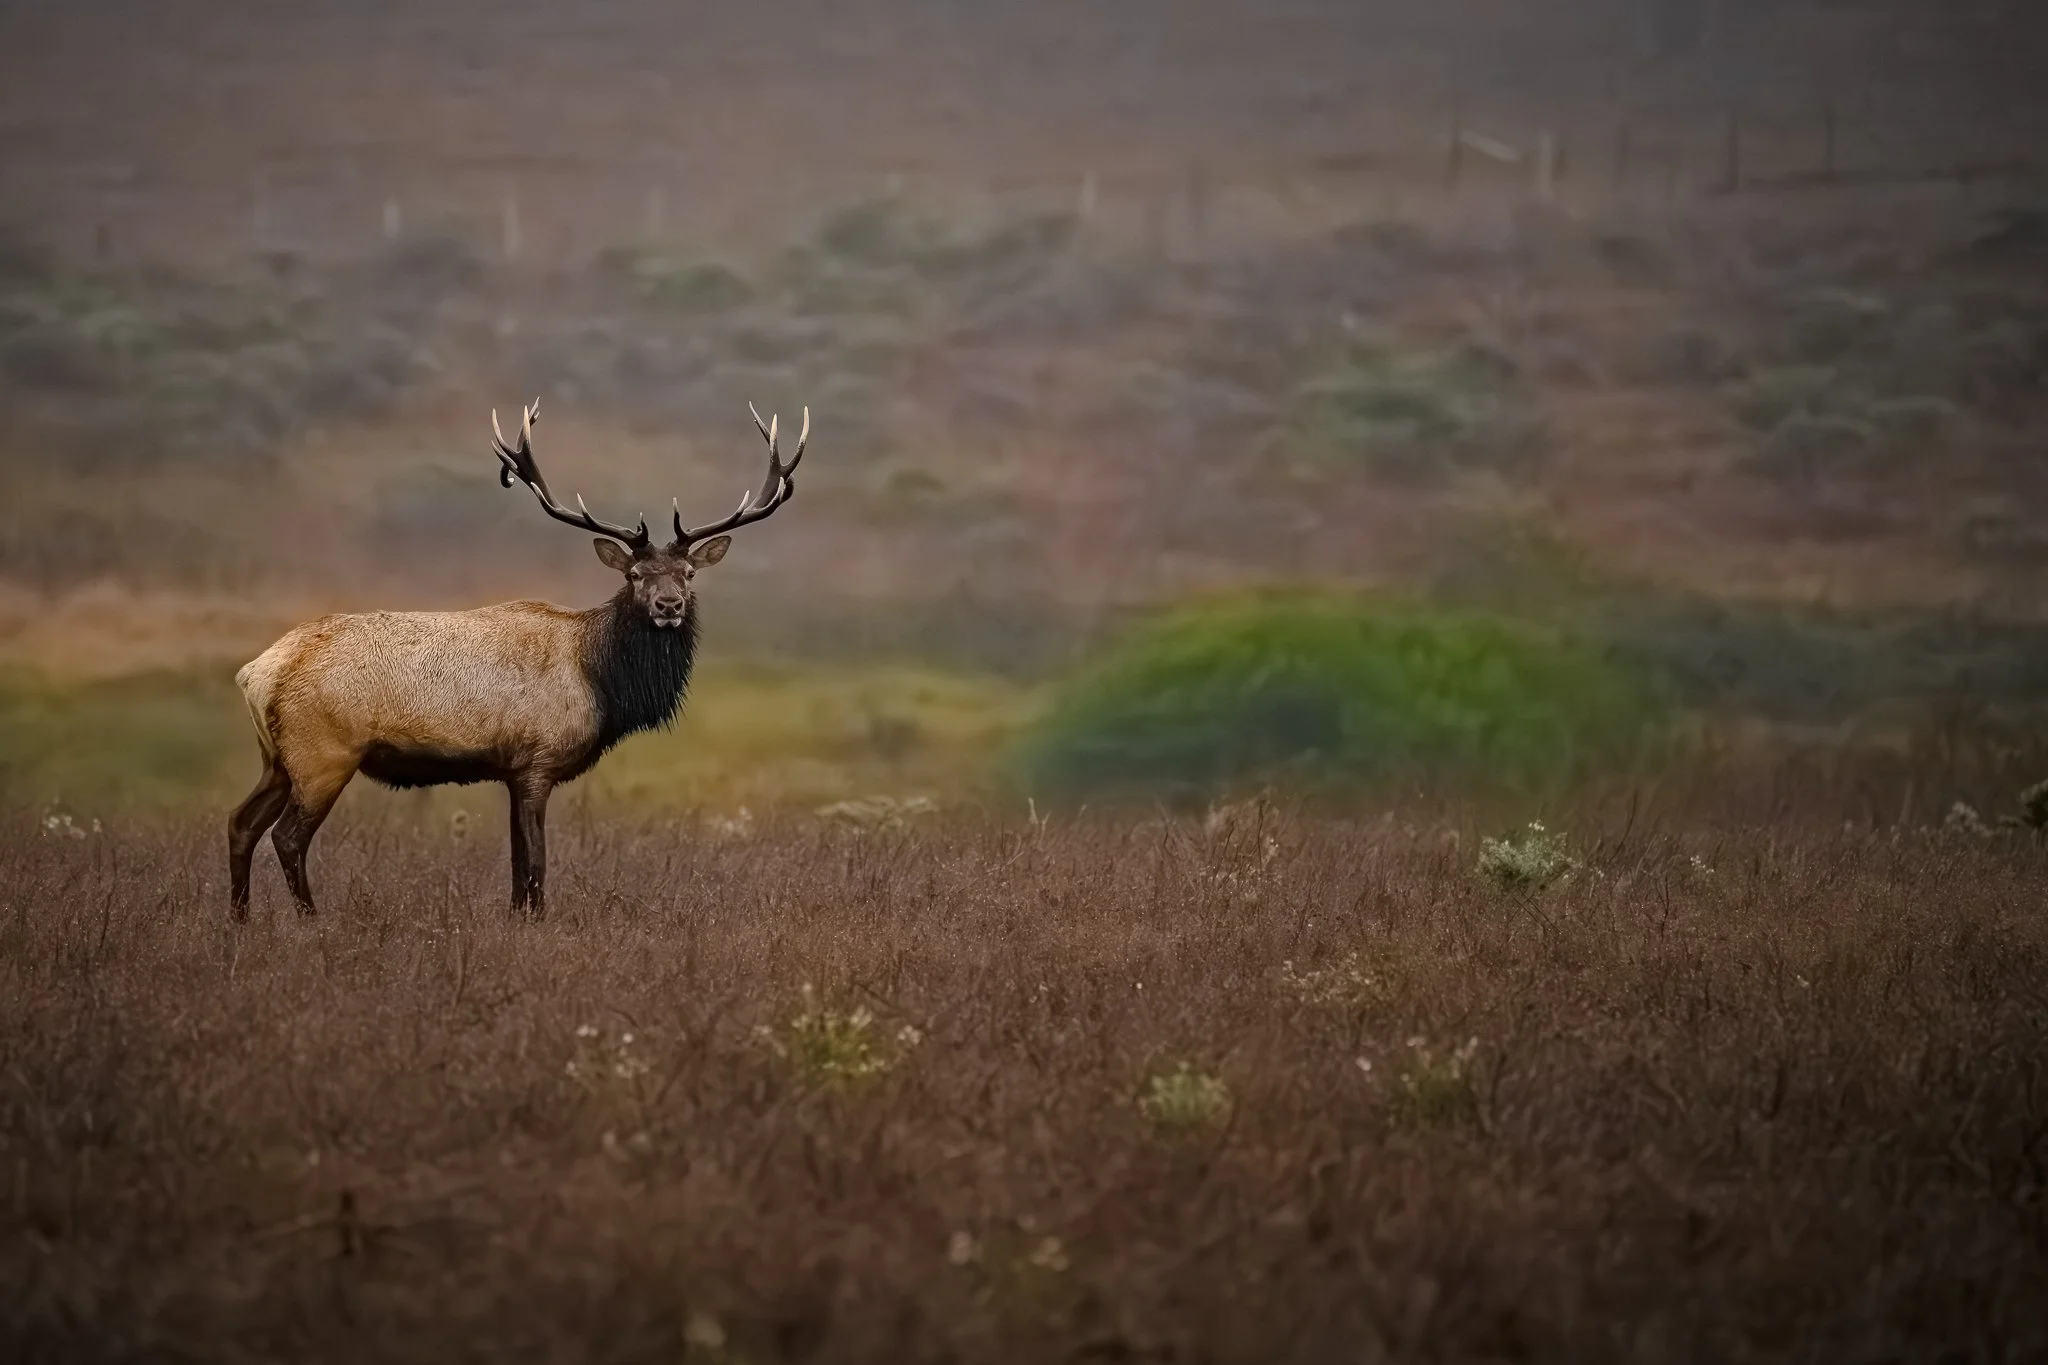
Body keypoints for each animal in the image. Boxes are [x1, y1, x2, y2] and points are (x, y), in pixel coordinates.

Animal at [227, 398, 808, 920]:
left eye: (688, 574)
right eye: (635, 575)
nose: (669, 606)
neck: (600, 680)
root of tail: (257, 672)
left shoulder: (510, 771)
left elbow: (514, 866)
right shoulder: (536, 761)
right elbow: (535, 864)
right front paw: (536, 923)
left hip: (276, 758)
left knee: (240, 823)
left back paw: (239, 920)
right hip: (322, 753)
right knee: (286, 837)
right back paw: (310, 920)